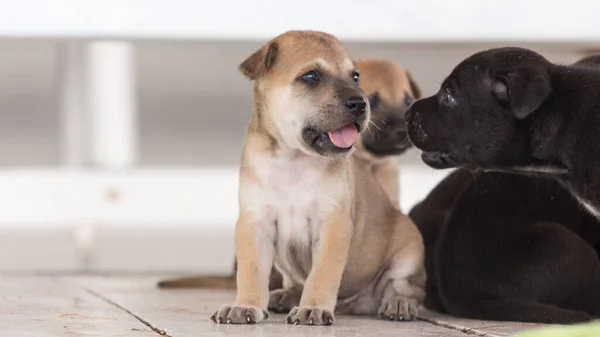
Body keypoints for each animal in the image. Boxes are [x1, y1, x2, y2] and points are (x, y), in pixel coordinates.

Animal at [211, 31, 426, 326]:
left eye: (355, 77)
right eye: (311, 76)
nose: (360, 104)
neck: (292, 159)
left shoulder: (332, 225)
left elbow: (322, 274)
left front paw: (313, 307)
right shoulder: (255, 223)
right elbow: (250, 271)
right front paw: (245, 305)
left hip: (408, 254)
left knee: (407, 288)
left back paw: (399, 303)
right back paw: (286, 295)